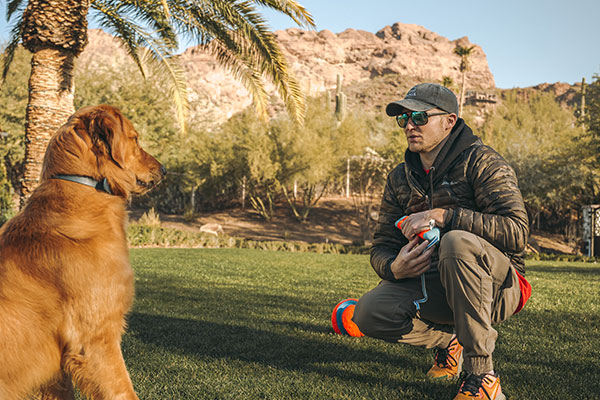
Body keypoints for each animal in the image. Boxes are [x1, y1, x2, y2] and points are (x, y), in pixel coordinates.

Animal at [0, 104, 165, 398]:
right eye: (135, 138)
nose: (165, 169)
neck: (85, 186)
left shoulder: (58, 369)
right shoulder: (96, 338)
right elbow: (124, 391)